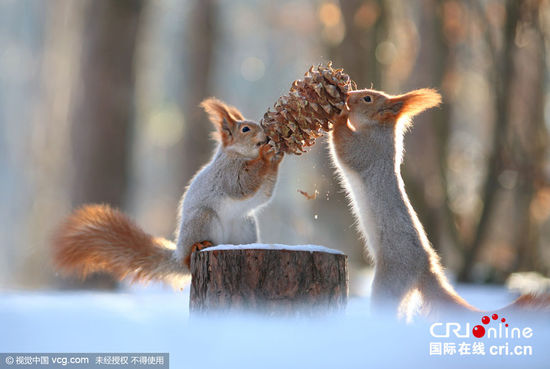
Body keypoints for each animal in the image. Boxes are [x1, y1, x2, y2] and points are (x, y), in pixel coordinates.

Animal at [54, 97, 284, 282]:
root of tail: (177, 253)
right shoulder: (226, 173)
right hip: (201, 218)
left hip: (245, 225)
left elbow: (264, 195)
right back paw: (196, 248)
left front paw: (277, 156)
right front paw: (266, 154)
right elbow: (241, 185)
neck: (240, 156)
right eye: (245, 129)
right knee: (188, 258)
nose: (266, 135)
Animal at [330, 87, 548, 314]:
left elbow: (345, 147)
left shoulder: (368, 151)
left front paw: (340, 116)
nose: (348, 95)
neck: (380, 130)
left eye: (367, 98)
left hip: (391, 280)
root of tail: (425, 268)